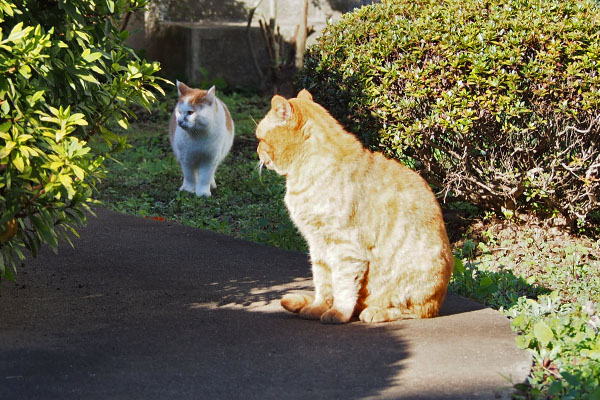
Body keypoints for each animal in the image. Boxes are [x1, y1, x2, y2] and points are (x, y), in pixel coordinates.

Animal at [254, 89, 454, 324]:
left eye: (260, 138)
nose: (257, 150)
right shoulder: (317, 246)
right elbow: (323, 283)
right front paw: (318, 308)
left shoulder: (345, 249)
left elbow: (342, 286)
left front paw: (337, 313)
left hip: (417, 285)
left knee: (414, 311)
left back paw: (376, 312)